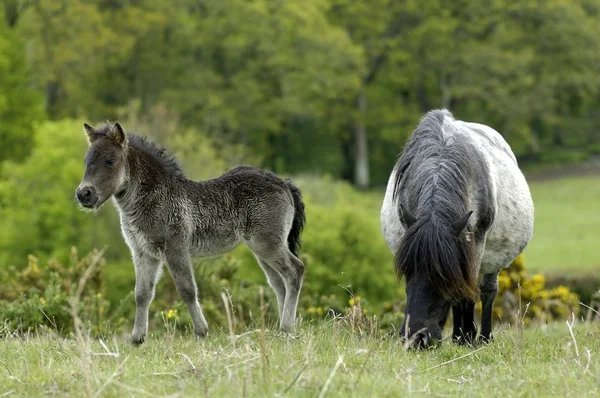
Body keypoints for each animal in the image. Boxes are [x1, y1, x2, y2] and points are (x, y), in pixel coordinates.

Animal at [75, 123, 308, 344]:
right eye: (86, 160)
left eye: (110, 160)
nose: (84, 194)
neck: (153, 198)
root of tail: (284, 183)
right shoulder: (143, 252)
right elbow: (142, 294)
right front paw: (137, 338)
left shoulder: (175, 248)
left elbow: (187, 289)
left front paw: (201, 332)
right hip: (262, 249)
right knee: (278, 282)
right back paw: (282, 328)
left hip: (268, 244)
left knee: (294, 271)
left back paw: (287, 327)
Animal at [382, 109, 532, 348]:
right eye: (407, 271)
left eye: (442, 276)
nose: (416, 338)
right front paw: (461, 335)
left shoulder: (475, 243)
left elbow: (467, 291)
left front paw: (468, 336)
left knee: (488, 290)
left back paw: (483, 336)